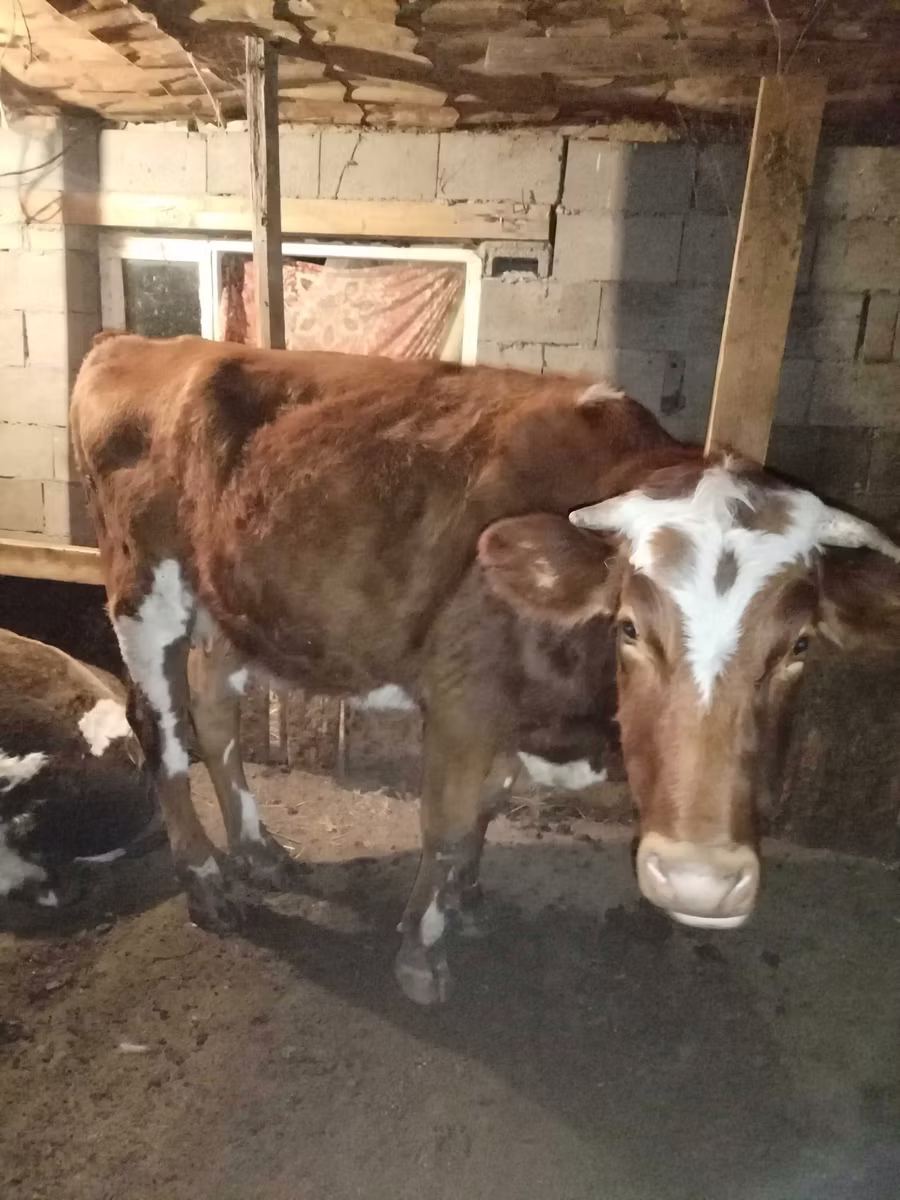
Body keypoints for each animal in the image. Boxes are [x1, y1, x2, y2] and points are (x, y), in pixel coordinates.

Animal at [70, 332, 900, 1004]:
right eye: (631, 626)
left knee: (215, 716)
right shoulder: (464, 699)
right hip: (145, 591)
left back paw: (260, 852)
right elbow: (445, 823)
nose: (702, 879)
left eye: (799, 646)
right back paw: (209, 883)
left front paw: (465, 900)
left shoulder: (508, 710)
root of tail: (134, 344)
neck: (571, 714)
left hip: (230, 606)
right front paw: (421, 954)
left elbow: (485, 813)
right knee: (162, 732)